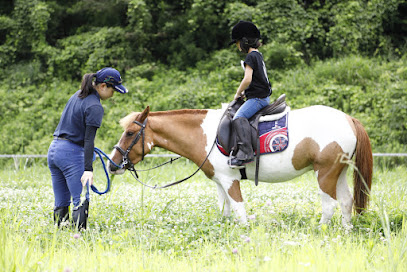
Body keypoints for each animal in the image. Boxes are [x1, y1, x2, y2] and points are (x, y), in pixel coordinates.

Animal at [108, 105, 372, 226]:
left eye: (130, 133)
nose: (112, 165)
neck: (207, 135)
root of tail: (348, 118)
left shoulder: (230, 180)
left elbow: (239, 211)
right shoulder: (220, 183)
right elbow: (226, 211)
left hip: (324, 173)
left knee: (329, 206)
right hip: (338, 172)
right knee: (346, 202)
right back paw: (345, 231)